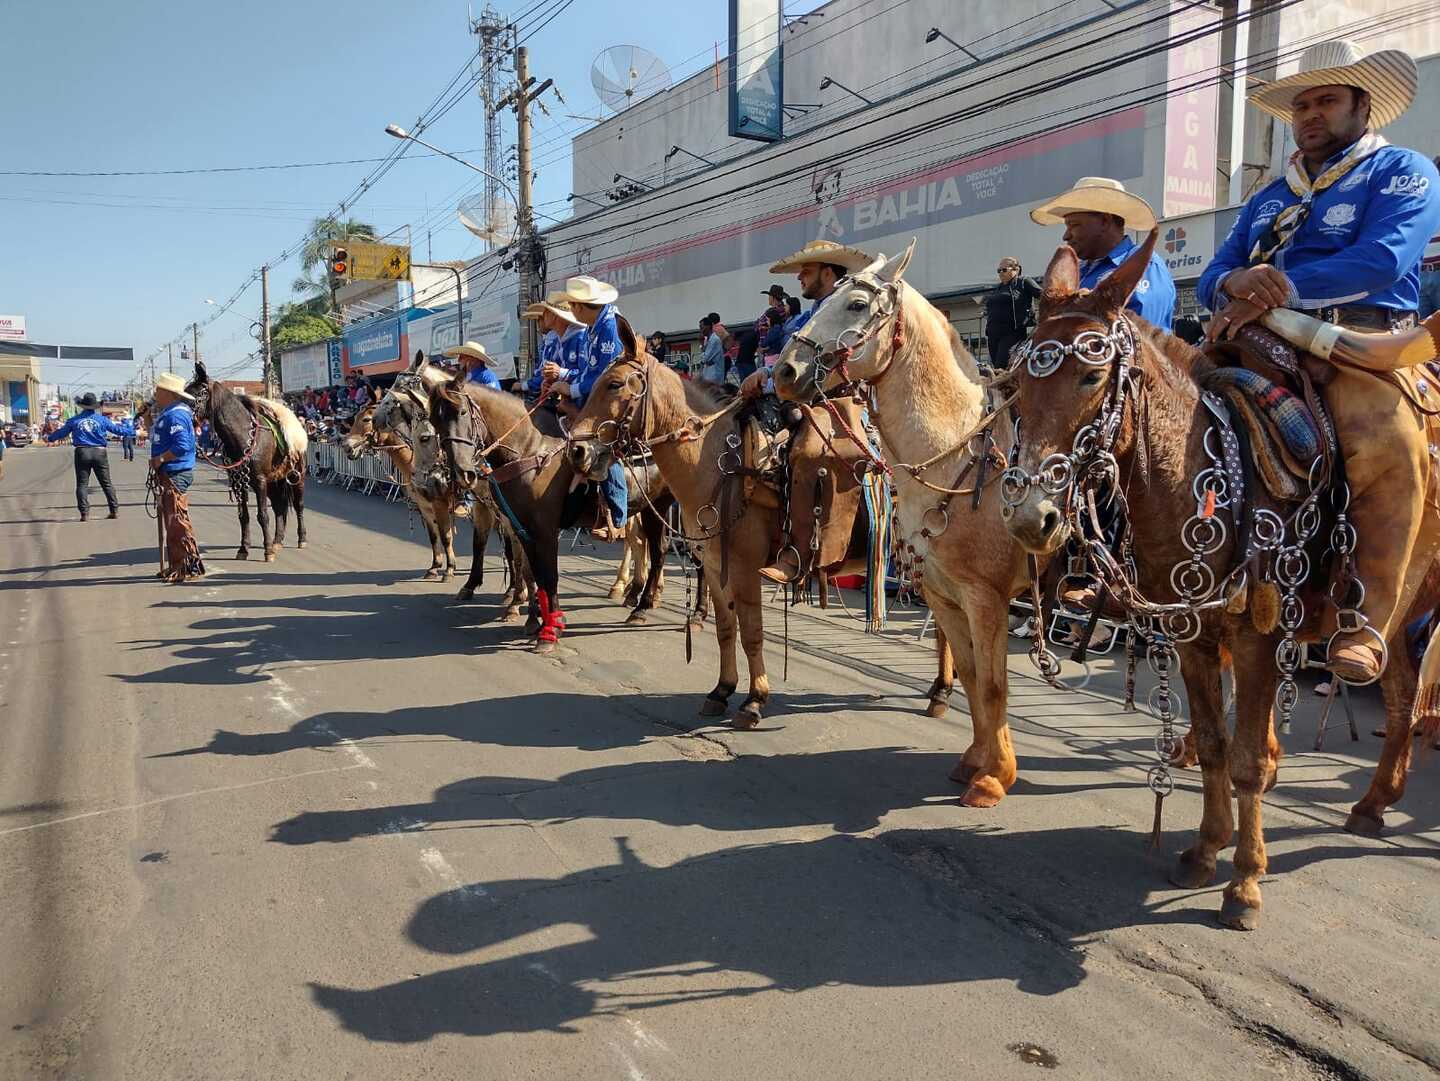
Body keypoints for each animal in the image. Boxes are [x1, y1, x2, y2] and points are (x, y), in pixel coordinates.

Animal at [185, 365, 306, 561]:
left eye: (199, 393)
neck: (242, 437)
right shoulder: (239, 482)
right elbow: (244, 516)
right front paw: (244, 548)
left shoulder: (259, 481)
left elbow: (262, 515)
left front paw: (267, 551)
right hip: (273, 482)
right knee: (279, 507)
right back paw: (277, 541)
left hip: (297, 476)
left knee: (298, 505)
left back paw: (301, 539)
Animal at [1002, 234, 1440, 932]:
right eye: (1016, 384)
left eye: (1092, 376)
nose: (1030, 517)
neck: (1210, 475)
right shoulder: (1193, 636)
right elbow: (1212, 744)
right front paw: (1206, 849)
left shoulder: (1261, 640)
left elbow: (1249, 760)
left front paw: (1246, 882)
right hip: (1395, 615)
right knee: (1400, 695)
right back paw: (1373, 803)